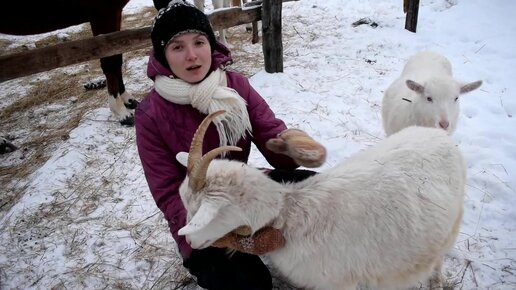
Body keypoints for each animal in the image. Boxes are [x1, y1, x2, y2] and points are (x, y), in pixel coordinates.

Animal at [177, 111, 468, 290]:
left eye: (200, 210)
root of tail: (437, 134)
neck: (288, 216)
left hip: (452, 225)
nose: (190, 242)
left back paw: (436, 281)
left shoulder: (340, 282)